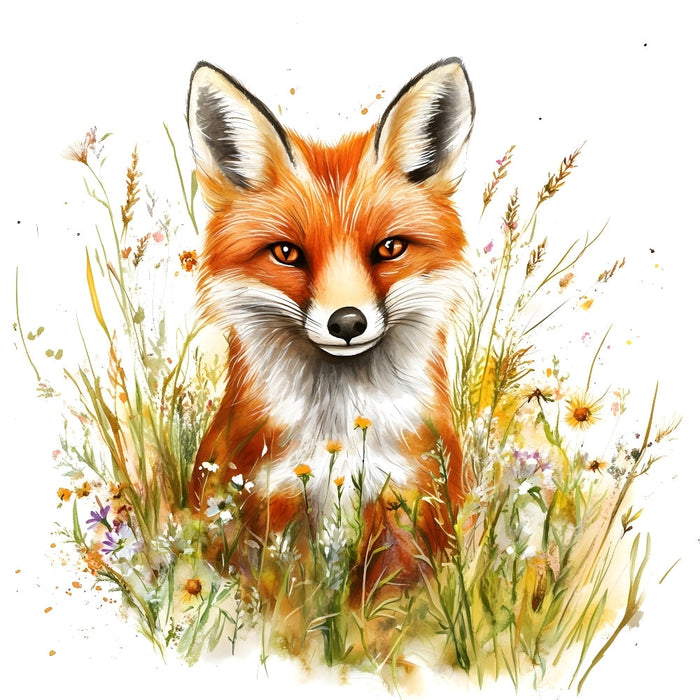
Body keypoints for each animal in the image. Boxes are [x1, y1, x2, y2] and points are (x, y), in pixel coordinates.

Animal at [186, 58, 475, 610]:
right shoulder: (268, 511)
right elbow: (289, 610)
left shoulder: (410, 508)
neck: (338, 439)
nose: (347, 323)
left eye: (390, 248)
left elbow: (381, 614)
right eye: (287, 253)